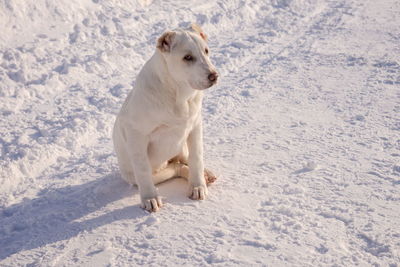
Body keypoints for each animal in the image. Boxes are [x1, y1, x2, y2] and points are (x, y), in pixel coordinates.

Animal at [112, 25, 219, 214]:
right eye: (187, 57)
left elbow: (196, 158)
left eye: (206, 51)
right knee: (174, 168)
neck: (179, 94)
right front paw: (150, 198)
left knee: (184, 161)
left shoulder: (195, 126)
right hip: (139, 174)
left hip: (182, 145)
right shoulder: (136, 135)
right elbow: (143, 170)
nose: (214, 76)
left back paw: (205, 174)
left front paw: (198, 186)